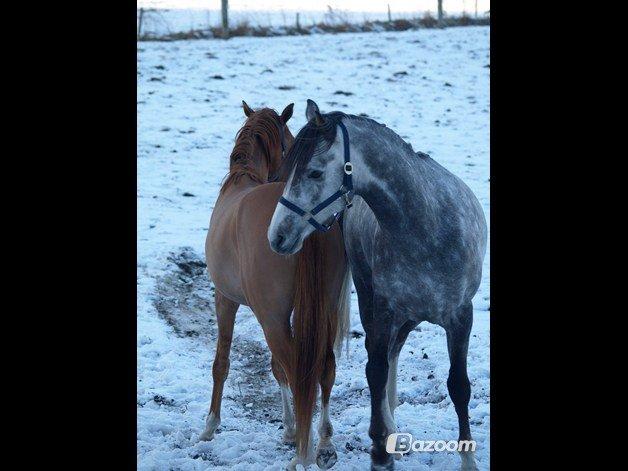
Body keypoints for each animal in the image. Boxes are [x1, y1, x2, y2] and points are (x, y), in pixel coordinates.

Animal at [201, 101, 350, 470]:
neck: (241, 179)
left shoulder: (227, 299)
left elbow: (222, 363)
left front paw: (210, 426)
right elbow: (277, 368)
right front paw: (290, 428)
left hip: (271, 318)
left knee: (299, 371)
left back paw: (303, 454)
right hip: (322, 307)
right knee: (324, 368)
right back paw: (324, 446)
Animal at [268, 100, 488, 471]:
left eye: (314, 173)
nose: (277, 237)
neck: (424, 228)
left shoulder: (461, 315)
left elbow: (458, 386)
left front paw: (468, 460)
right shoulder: (383, 310)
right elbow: (376, 371)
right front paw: (380, 451)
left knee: (395, 353)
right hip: (375, 301)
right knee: (386, 357)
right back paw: (390, 431)